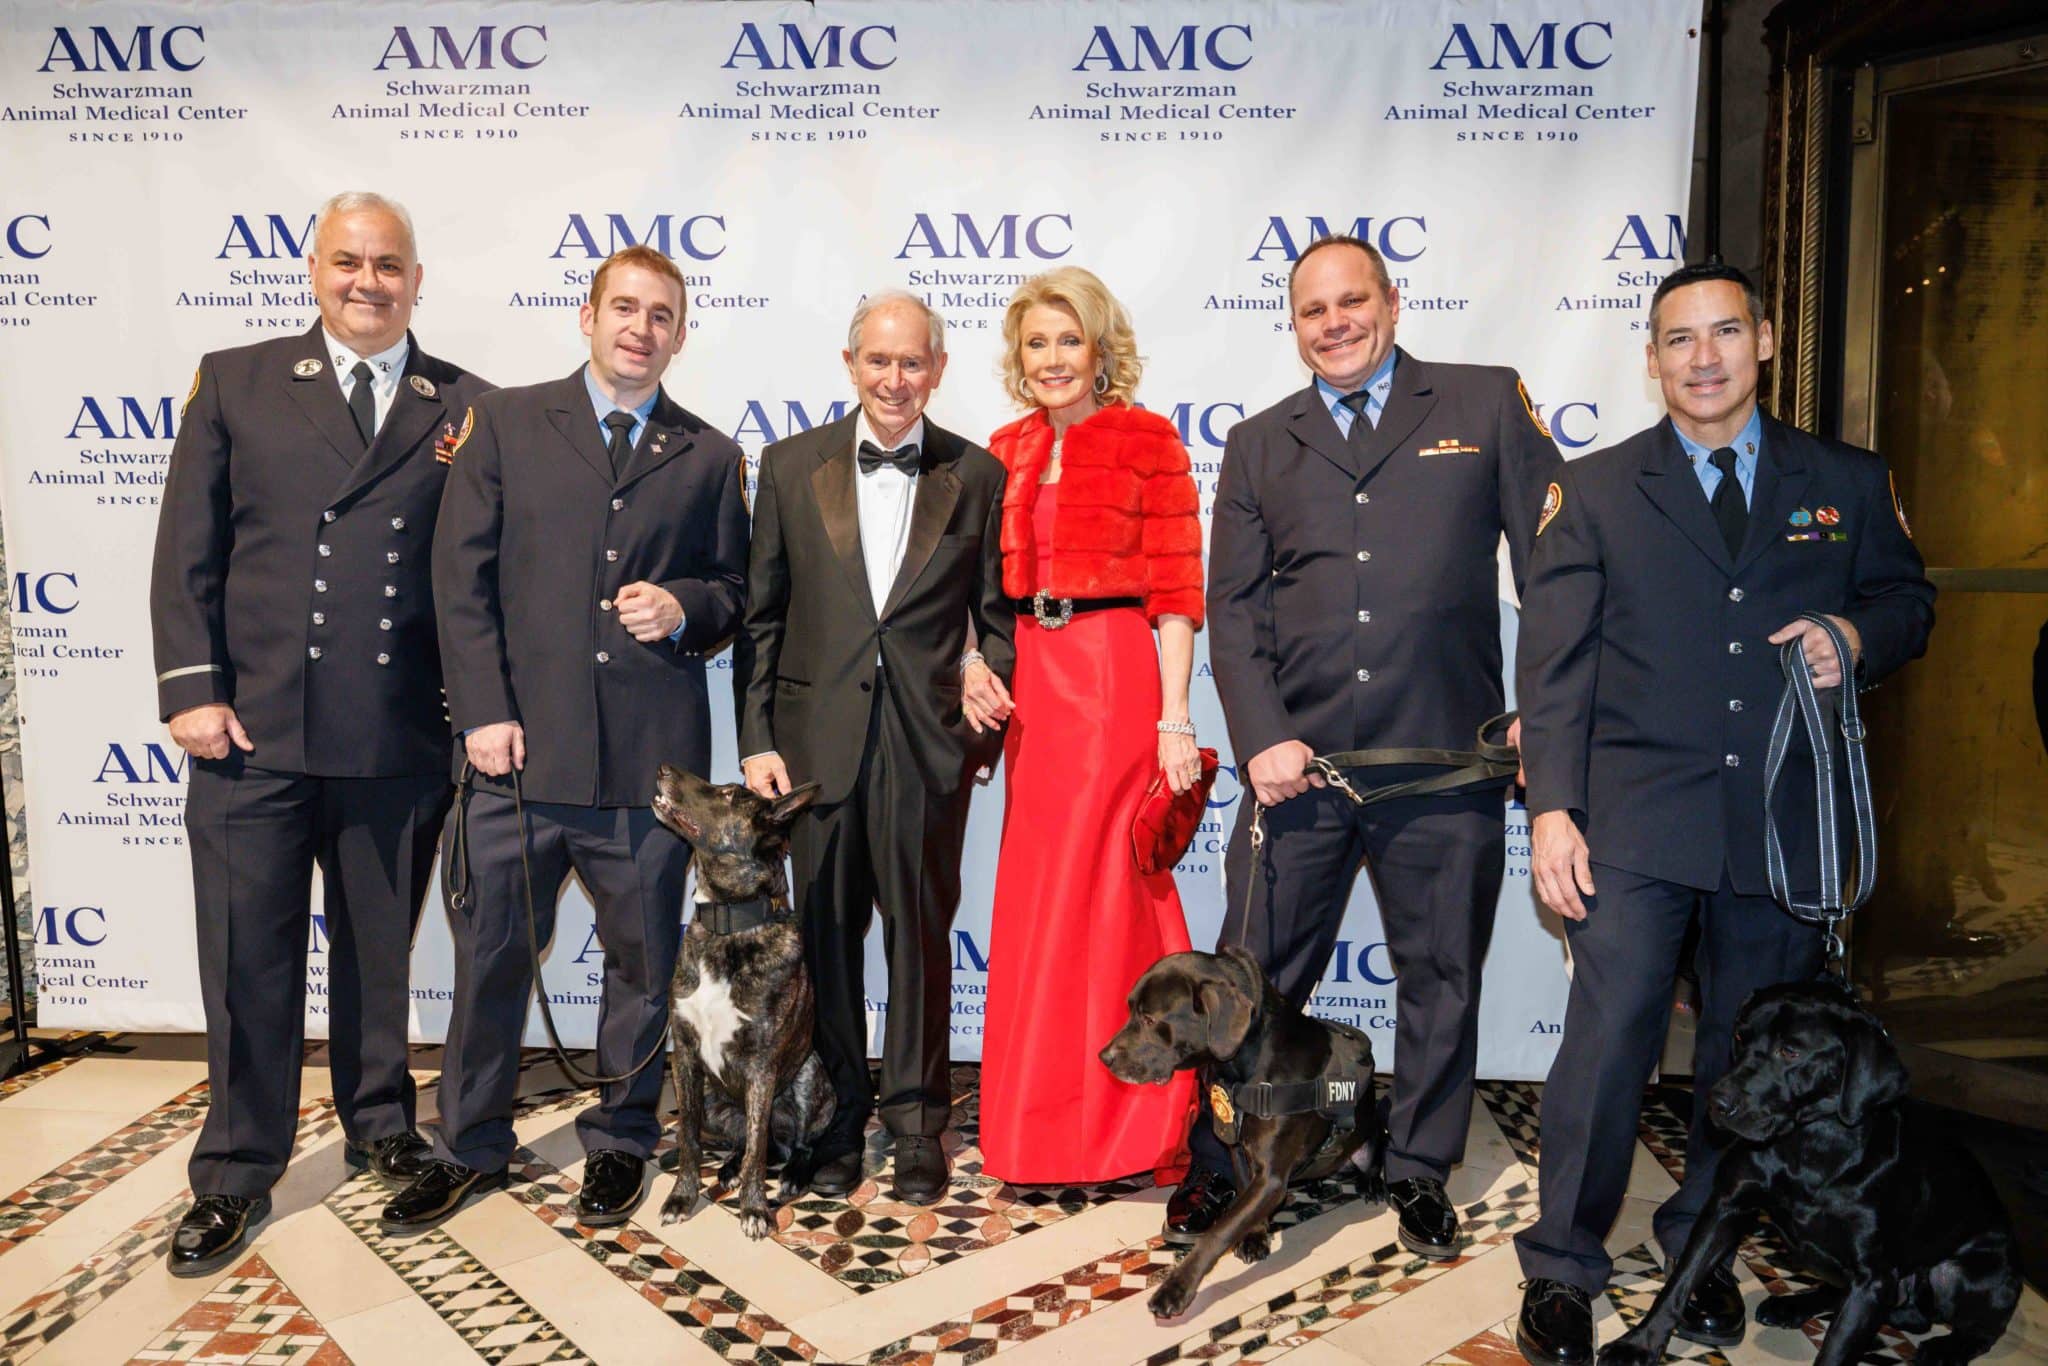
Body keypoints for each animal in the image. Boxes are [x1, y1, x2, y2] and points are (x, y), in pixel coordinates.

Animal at [1105, 946, 1376, 1318]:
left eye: (1149, 1019)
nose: (1103, 1057)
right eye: (1130, 1010)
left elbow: (1218, 1231)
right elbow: (1243, 1197)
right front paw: (1255, 1236)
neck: (1245, 1063)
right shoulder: (1238, 1150)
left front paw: (1177, 1288)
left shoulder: (1272, 1177)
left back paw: (1372, 1185)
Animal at [1597, 983, 2015, 1366]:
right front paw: (1639, 1344)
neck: (1807, 1149)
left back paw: (1944, 1349)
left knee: (1977, 1332)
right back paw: (1791, 1306)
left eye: (1791, 1051)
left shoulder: (1874, 1277)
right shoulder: (1725, 1209)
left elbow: (1836, 1349)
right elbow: (1678, 1283)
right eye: (1740, 1036)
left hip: (1960, 1273)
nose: (1717, 1104)